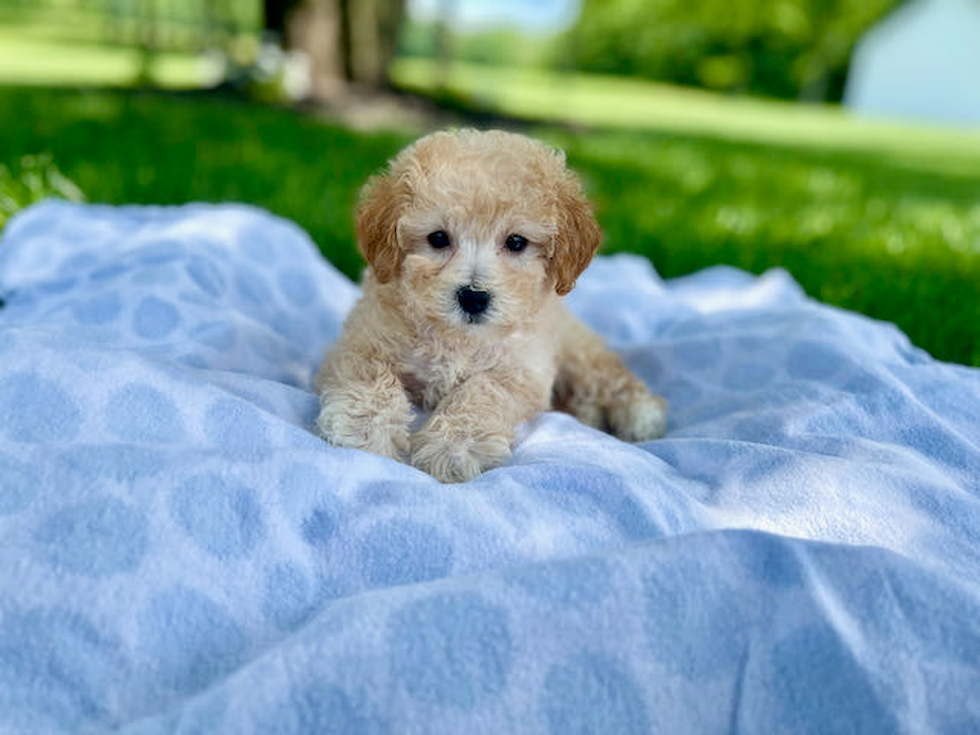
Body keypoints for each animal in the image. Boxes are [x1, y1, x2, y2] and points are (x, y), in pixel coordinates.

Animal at [314, 128, 668, 484]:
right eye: (438, 238)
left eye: (516, 242)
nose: (473, 297)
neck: (457, 338)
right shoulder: (362, 342)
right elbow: (372, 377)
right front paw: (364, 428)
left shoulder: (523, 372)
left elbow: (481, 391)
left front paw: (454, 448)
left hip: (579, 354)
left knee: (611, 377)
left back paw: (640, 414)